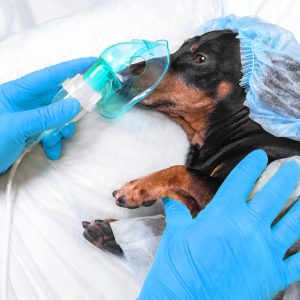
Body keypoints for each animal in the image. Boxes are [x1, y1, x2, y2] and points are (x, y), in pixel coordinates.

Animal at [82, 30, 300, 260]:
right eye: (183, 46)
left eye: (200, 59)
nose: (123, 71)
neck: (244, 128)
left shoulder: (227, 196)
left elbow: (180, 171)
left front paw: (137, 188)